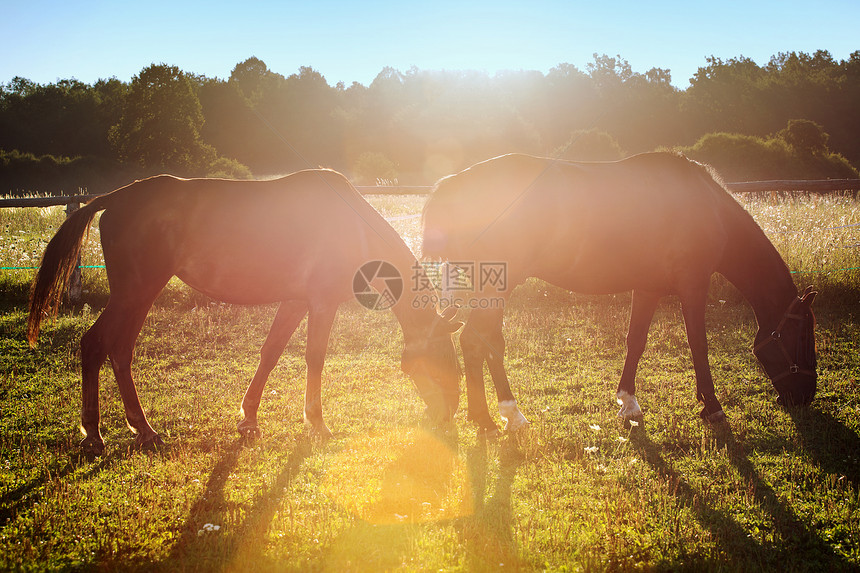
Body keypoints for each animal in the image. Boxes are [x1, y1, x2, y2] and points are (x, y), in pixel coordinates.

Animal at [28, 168, 464, 454]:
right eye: (442, 363)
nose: (448, 418)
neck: (349, 225)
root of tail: (115, 197)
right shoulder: (322, 303)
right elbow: (314, 357)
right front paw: (317, 423)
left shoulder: (295, 302)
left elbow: (270, 353)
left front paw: (249, 419)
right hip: (136, 292)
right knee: (99, 346)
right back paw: (103, 432)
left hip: (137, 294)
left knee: (114, 350)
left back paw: (133, 429)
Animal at [426, 152, 816, 428]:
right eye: (802, 335)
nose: (805, 396)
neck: (708, 207)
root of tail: (450, 184)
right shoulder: (694, 286)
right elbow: (699, 345)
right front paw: (713, 406)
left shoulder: (647, 289)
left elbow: (636, 341)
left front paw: (628, 402)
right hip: (497, 287)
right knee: (477, 341)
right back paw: (498, 416)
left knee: (482, 344)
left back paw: (497, 416)